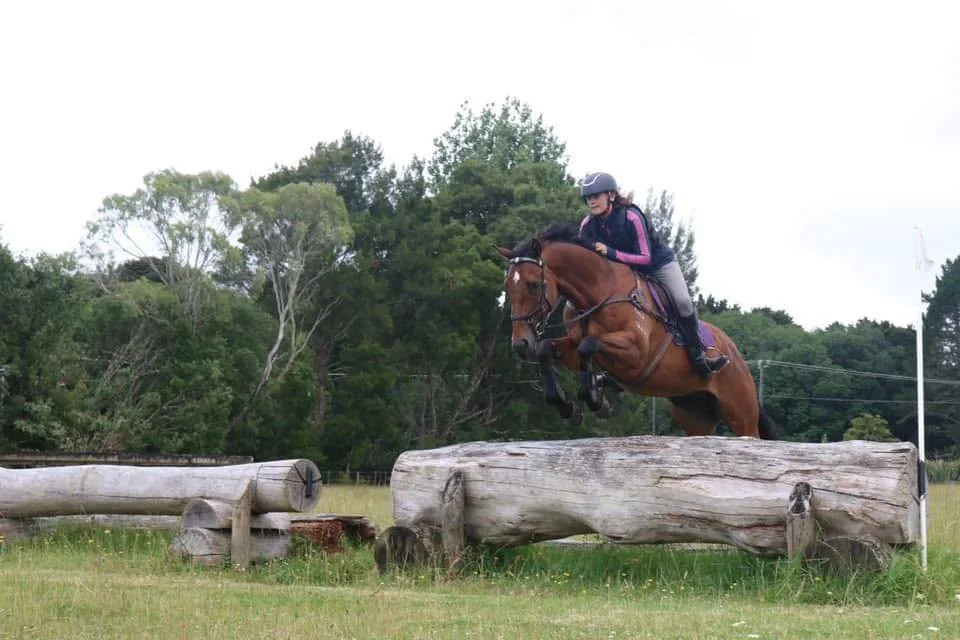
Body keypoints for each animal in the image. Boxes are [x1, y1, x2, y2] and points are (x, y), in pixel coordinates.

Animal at [496, 222, 777, 440]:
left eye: (534, 285)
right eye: (507, 287)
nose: (520, 343)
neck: (598, 292)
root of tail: (735, 353)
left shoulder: (636, 352)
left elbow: (589, 344)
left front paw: (595, 398)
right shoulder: (573, 348)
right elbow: (549, 348)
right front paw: (568, 406)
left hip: (741, 414)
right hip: (694, 413)